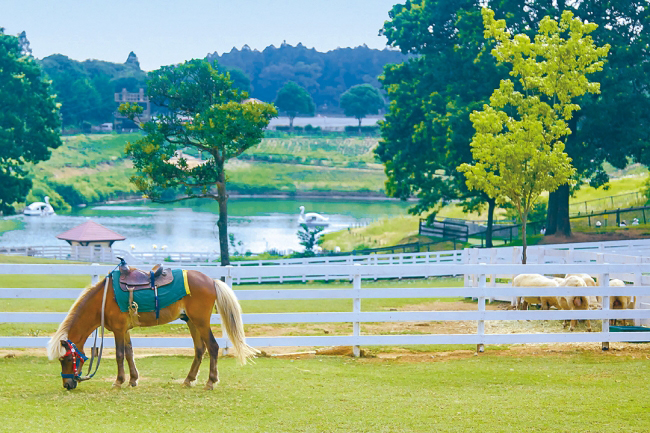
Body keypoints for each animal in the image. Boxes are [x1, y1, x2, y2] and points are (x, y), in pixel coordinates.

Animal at [46, 268, 256, 390]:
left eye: (65, 359)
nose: (67, 384)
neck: (103, 300)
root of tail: (211, 280)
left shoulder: (119, 330)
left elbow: (120, 355)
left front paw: (119, 381)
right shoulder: (125, 330)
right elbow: (129, 353)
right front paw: (133, 380)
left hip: (201, 322)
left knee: (212, 347)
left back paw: (211, 381)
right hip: (191, 322)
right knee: (199, 349)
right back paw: (188, 379)